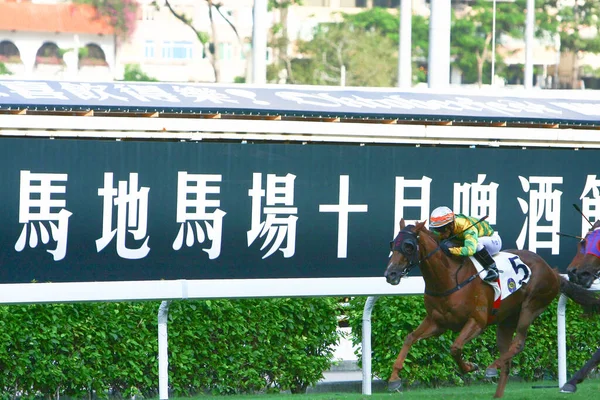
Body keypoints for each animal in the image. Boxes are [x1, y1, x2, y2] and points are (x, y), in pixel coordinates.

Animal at [384, 220, 564, 398]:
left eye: (408, 246)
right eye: (393, 244)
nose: (390, 274)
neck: (449, 278)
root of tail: (552, 271)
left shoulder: (477, 322)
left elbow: (455, 348)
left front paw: (471, 367)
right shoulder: (437, 322)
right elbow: (410, 338)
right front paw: (394, 378)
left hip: (531, 306)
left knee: (518, 344)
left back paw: (492, 367)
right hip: (506, 321)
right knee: (507, 363)